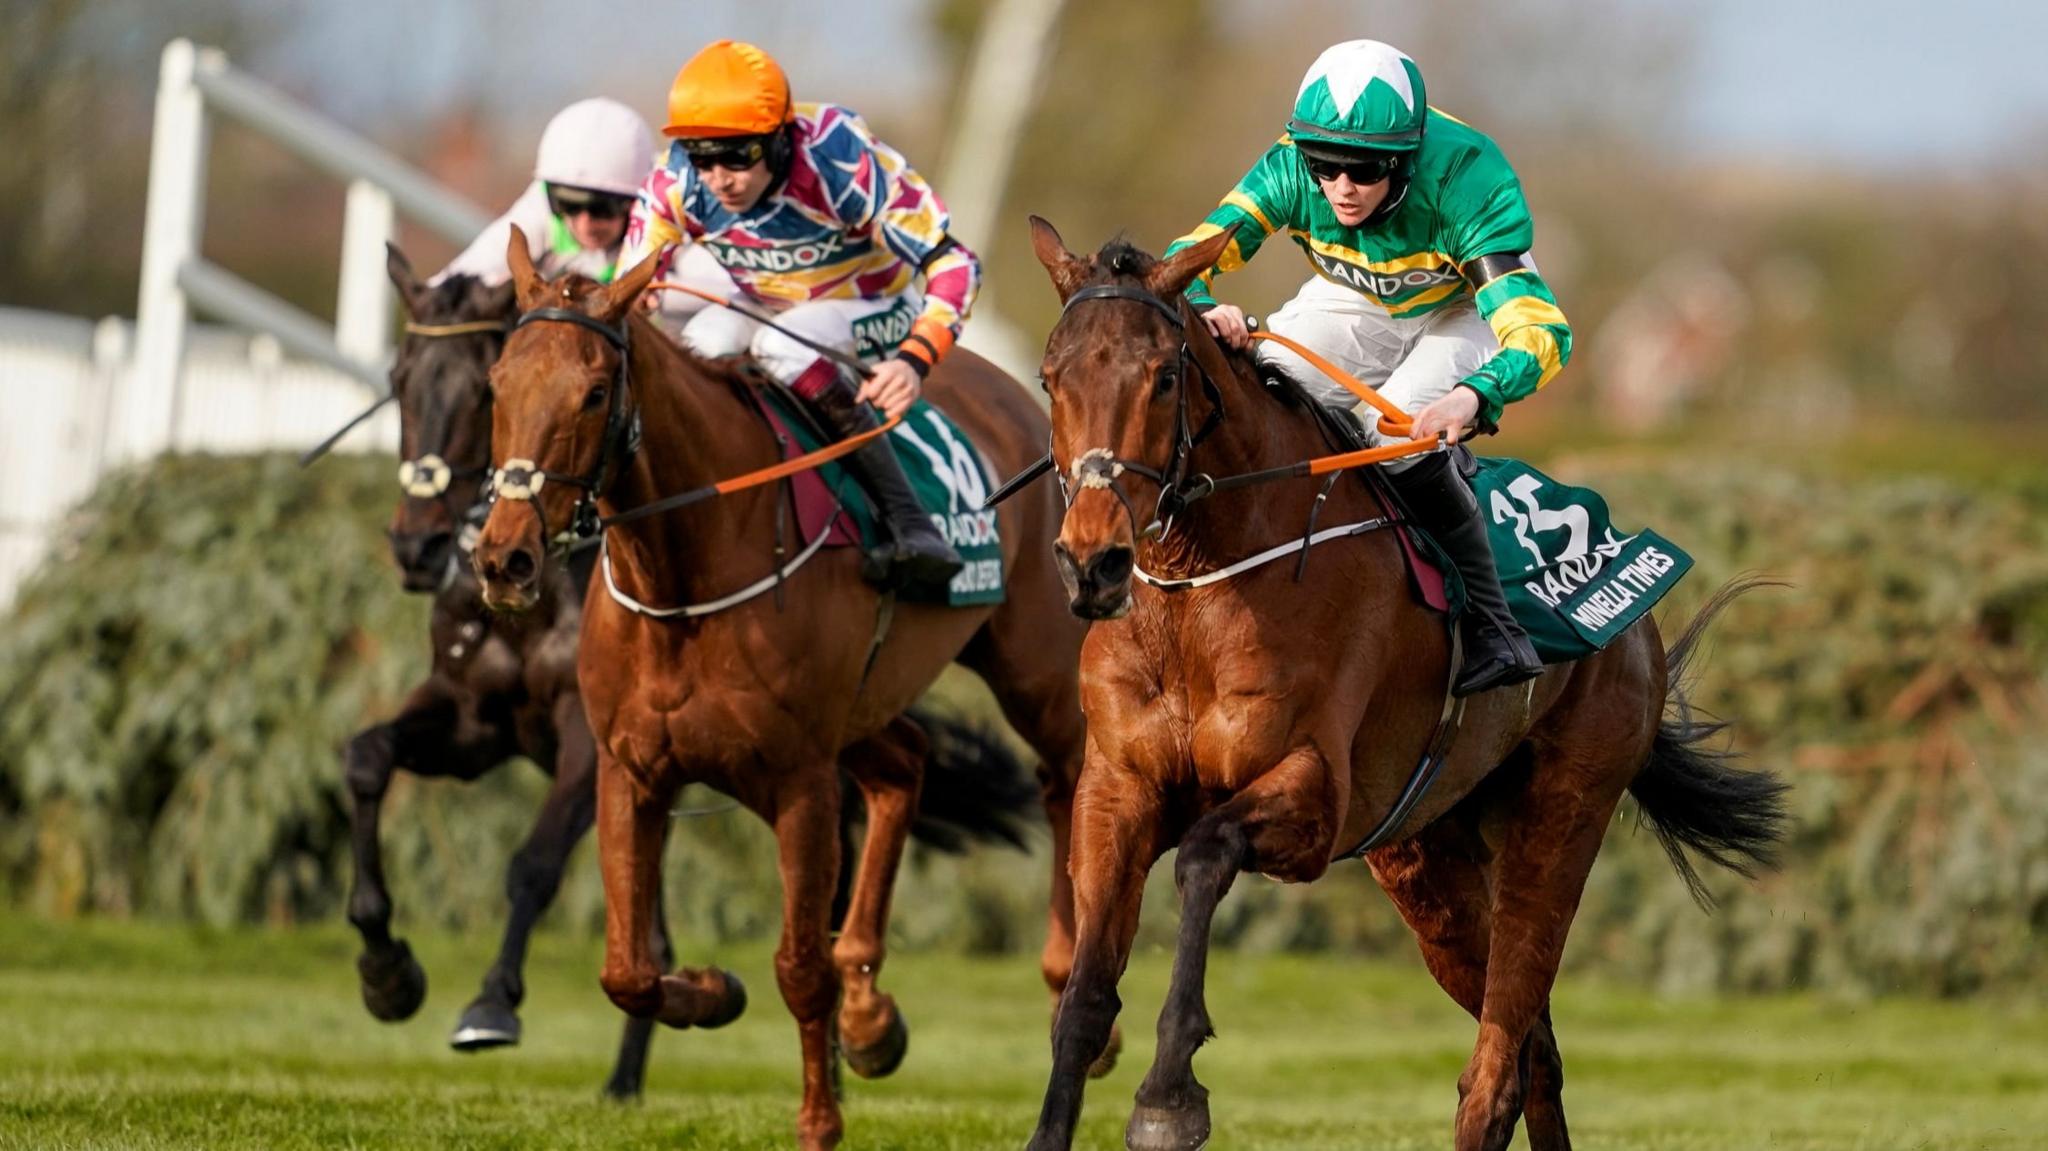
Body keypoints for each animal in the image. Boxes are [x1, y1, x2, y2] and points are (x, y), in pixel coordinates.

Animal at [468, 228, 1105, 1138]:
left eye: (593, 393)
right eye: (497, 384)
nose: (506, 557)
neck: (683, 580)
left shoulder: (799, 781)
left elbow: (799, 967)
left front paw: (818, 1121)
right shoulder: (630, 770)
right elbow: (626, 969)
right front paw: (711, 991)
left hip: (1036, 672)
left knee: (1066, 780)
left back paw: (1066, 981)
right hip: (865, 705)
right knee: (907, 763)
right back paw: (870, 1015)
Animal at [1015, 217, 1785, 1146]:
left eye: (1164, 377)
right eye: (1051, 378)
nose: (1092, 561)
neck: (1200, 585)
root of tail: (1636, 624)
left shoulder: (1312, 793)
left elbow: (1204, 853)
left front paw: (1170, 1093)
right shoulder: (1117, 790)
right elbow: (1084, 1000)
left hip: (1564, 812)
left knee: (1497, 1061)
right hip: (1428, 857)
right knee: (1535, 1053)